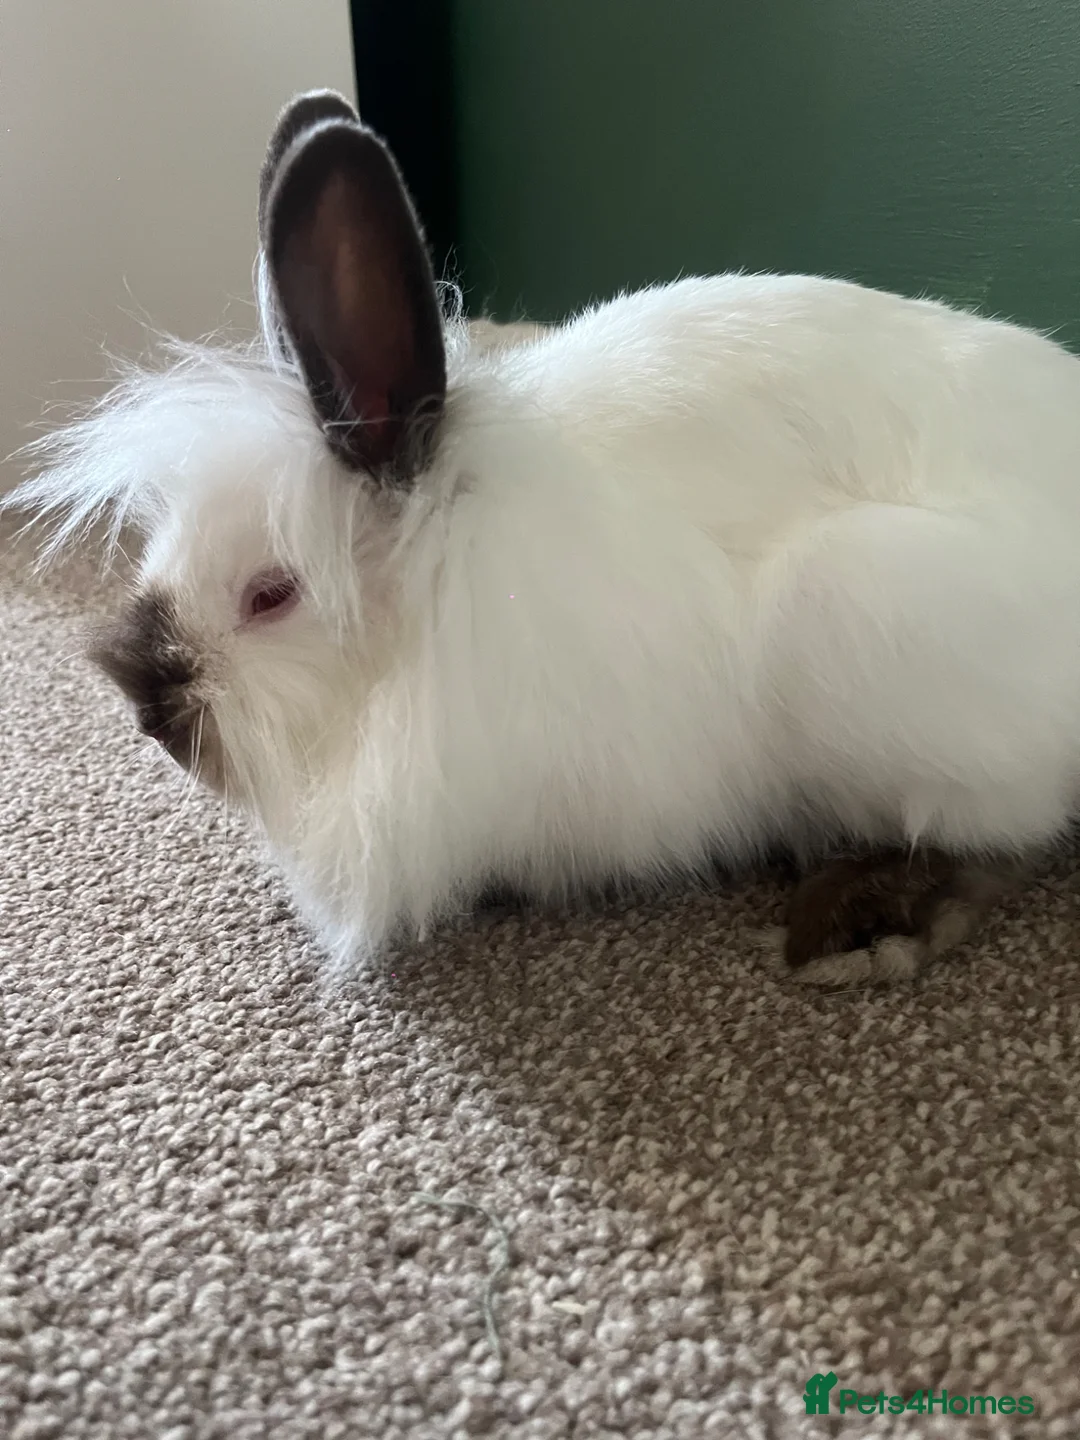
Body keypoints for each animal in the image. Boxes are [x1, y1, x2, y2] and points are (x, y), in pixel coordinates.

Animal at [9, 87, 1080, 982]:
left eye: (270, 596)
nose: (147, 710)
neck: (437, 587)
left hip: (860, 620)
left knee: (1010, 839)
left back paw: (867, 927)